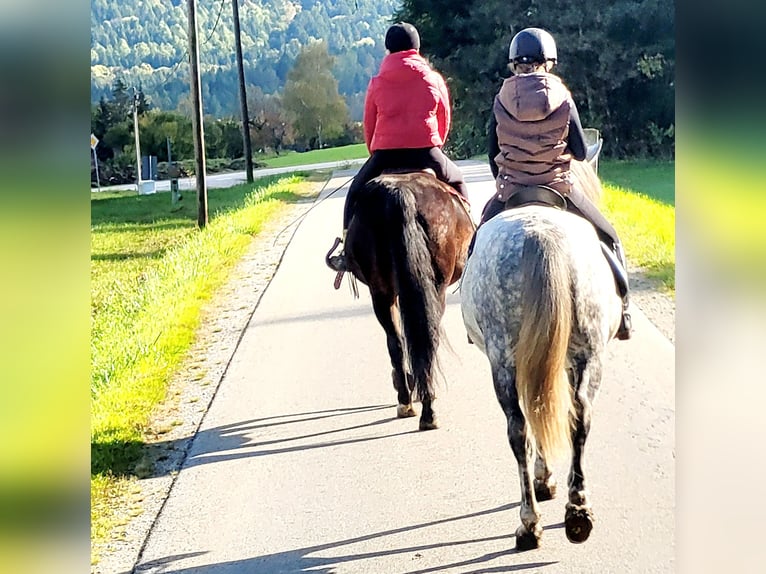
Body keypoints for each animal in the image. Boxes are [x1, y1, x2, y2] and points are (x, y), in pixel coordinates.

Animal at [340, 171, 474, 432]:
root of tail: (400, 195)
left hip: (381, 292)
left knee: (398, 342)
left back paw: (409, 401)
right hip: (431, 289)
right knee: (424, 338)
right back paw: (425, 406)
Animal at [462, 159, 624, 552]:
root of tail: (540, 234)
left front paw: (544, 479)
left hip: (506, 362)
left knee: (521, 428)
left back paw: (531, 523)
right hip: (586, 356)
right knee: (577, 417)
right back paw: (576, 513)